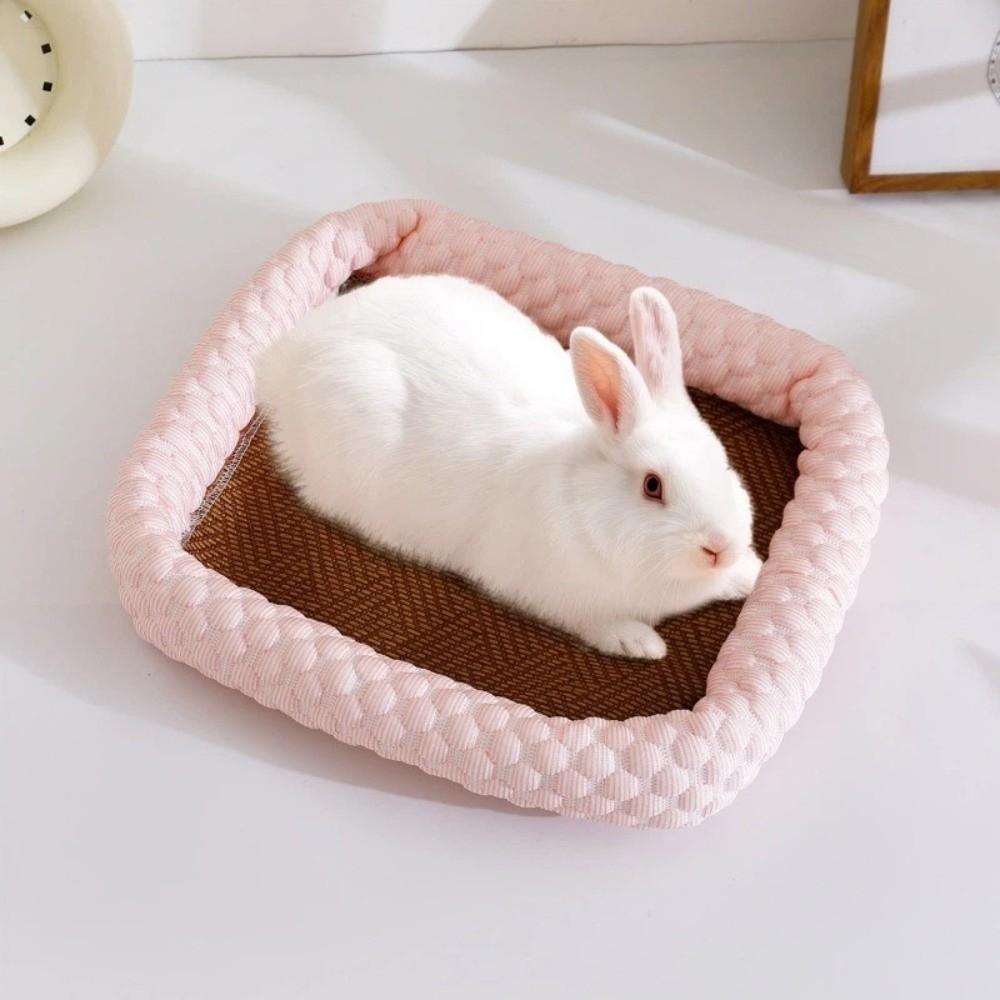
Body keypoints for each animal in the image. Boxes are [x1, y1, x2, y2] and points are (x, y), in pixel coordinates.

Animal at [255, 274, 762, 660]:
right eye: (652, 486)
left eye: (722, 463)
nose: (718, 547)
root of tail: (283, 360)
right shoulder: (561, 598)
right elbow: (598, 622)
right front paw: (640, 643)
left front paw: (750, 573)